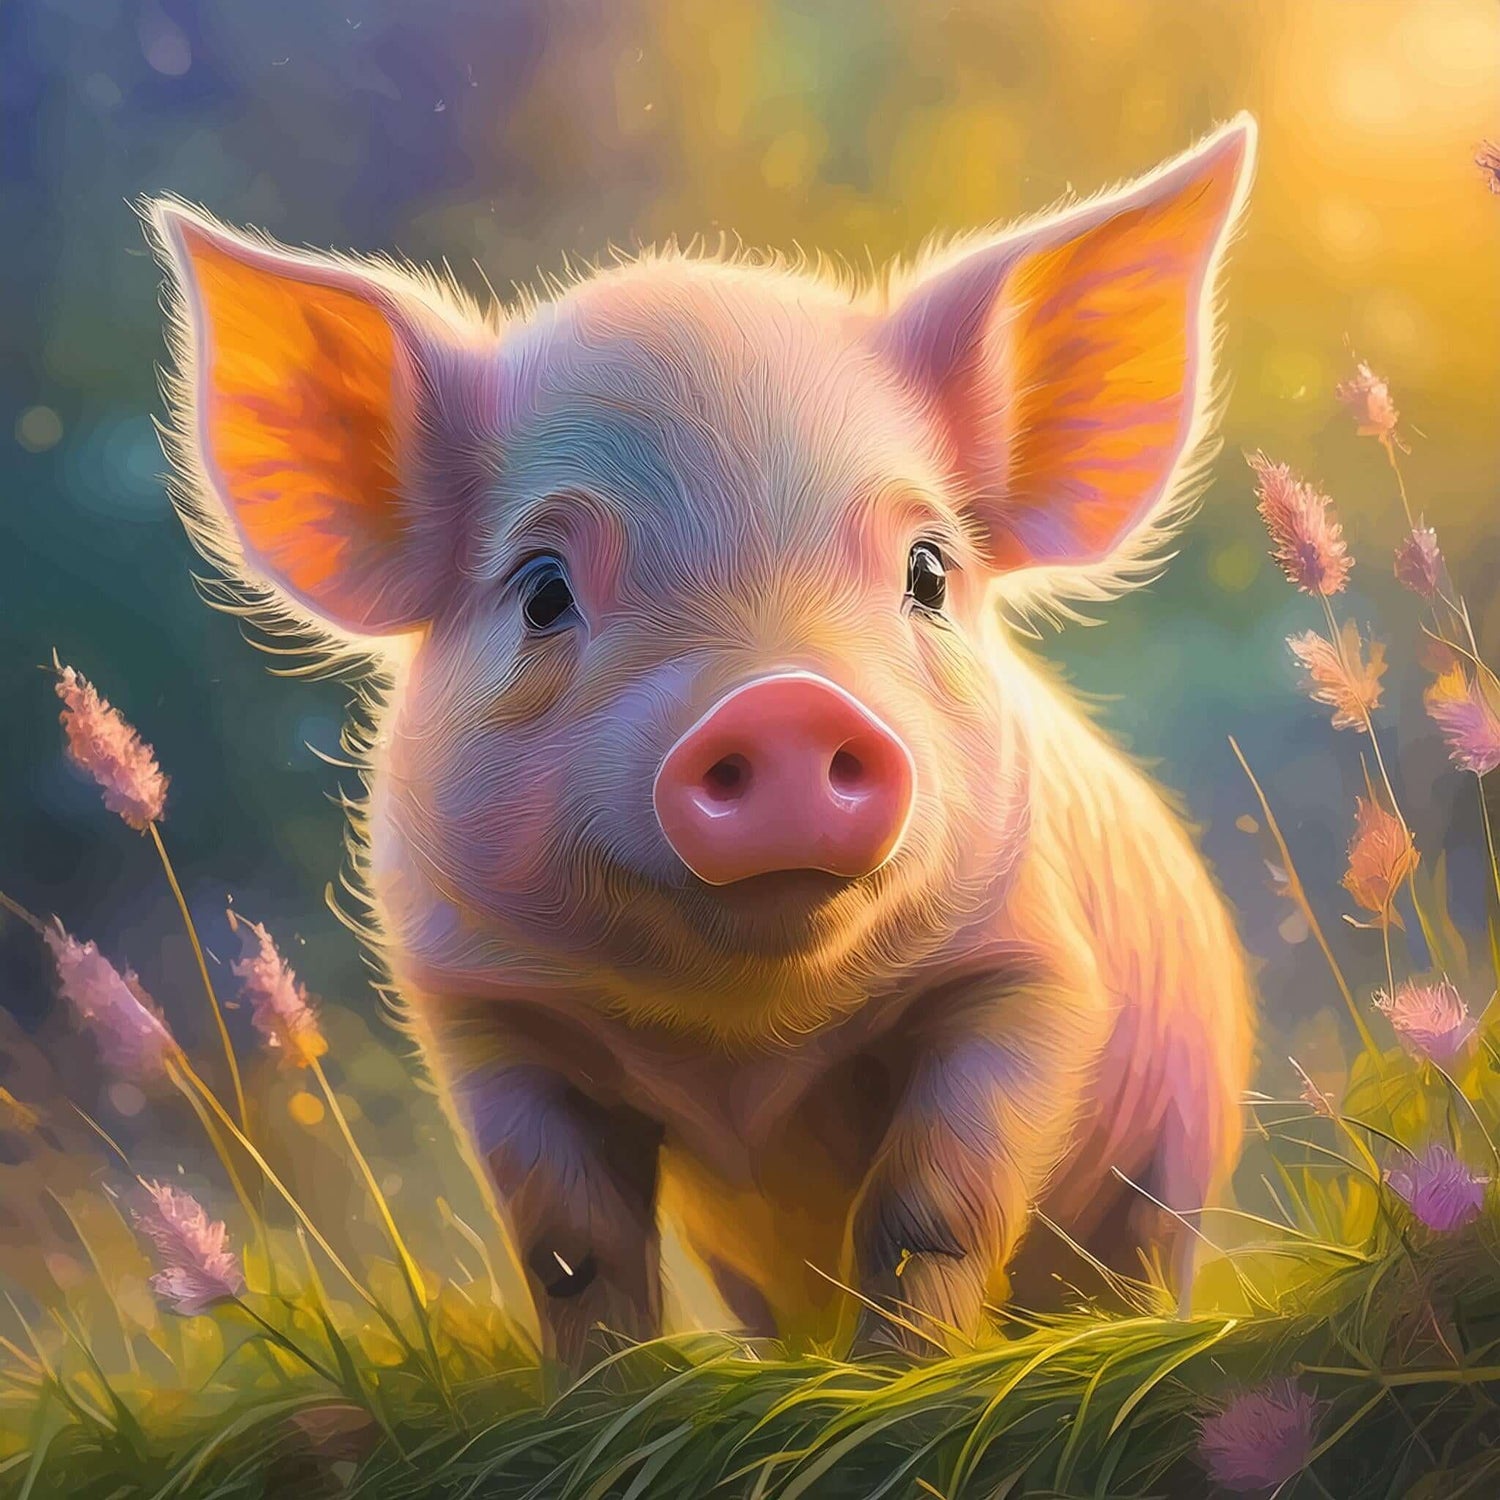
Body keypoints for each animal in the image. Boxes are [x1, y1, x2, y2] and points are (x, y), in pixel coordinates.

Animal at [149, 115, 1257, 1369]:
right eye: (542, 591)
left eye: (928, 571)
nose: (782, 702)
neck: (742, 1046)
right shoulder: (483, 1012)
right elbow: (569, 1246)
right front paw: (609, 1390)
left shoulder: (1033, 966)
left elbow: (932, 1210)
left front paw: (892, 1380)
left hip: (1171, 1155)